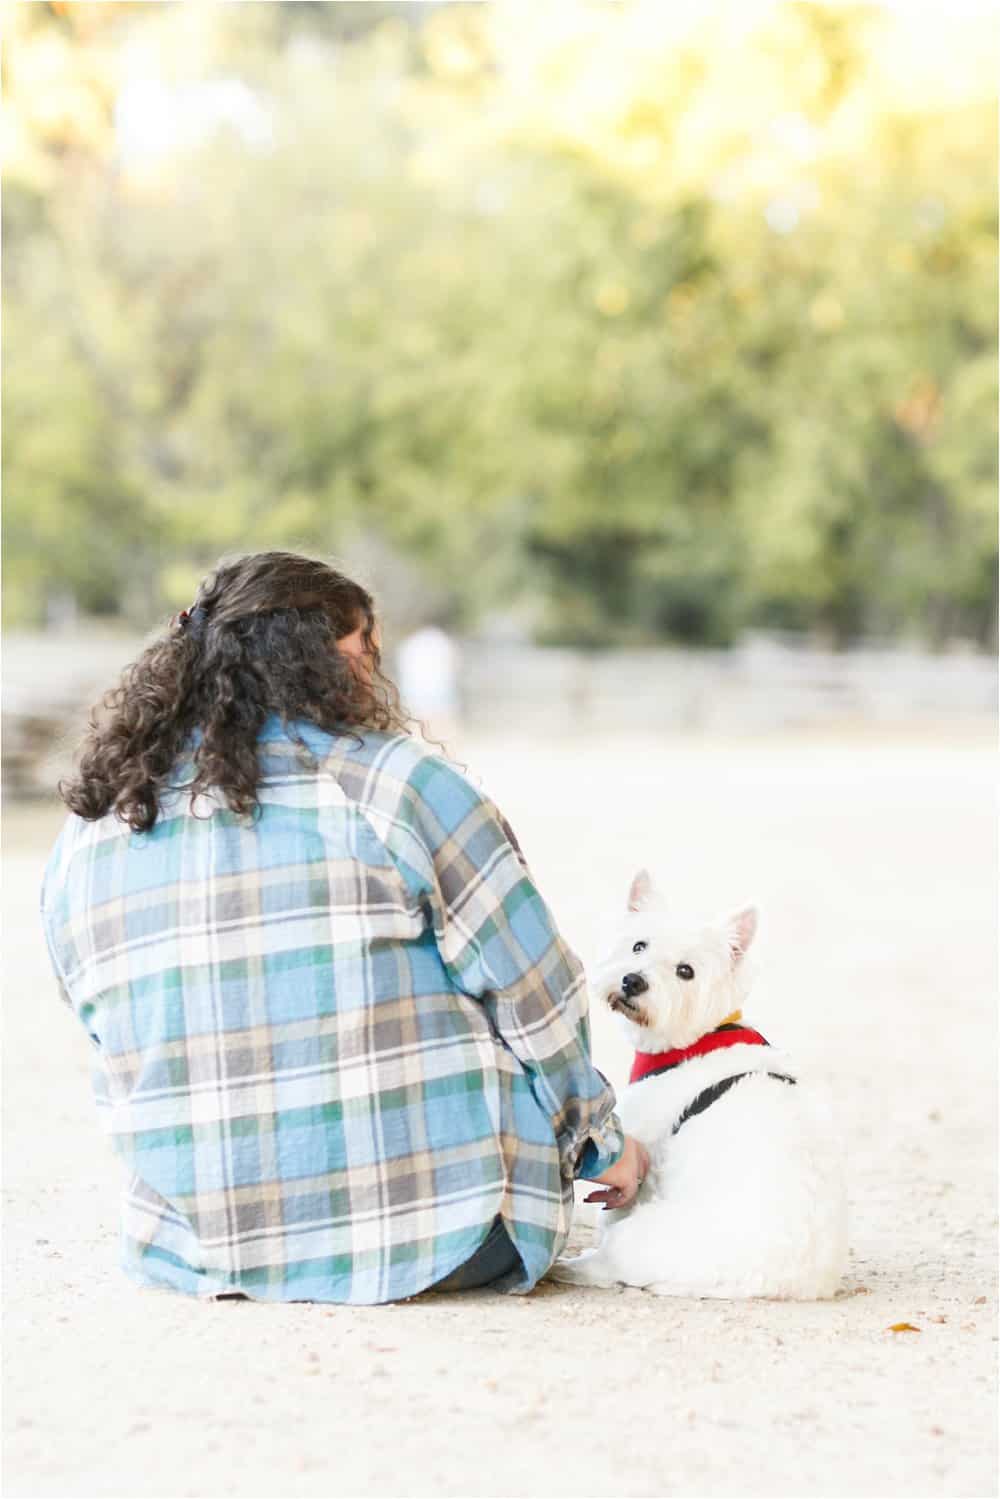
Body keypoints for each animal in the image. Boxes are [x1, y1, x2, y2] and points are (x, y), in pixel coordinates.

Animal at [551, 869, 851, 1301]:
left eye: (685, 971)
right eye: (639, 945)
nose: (632, 981)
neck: (692, 1040)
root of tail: (766, 1283)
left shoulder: (642, 1158)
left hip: (645, 1234)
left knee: (608, 1262)